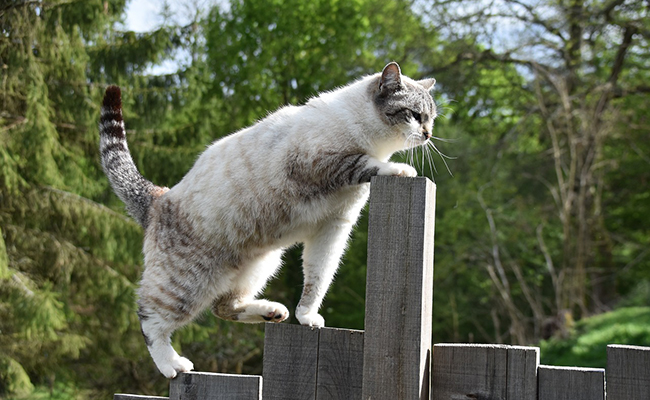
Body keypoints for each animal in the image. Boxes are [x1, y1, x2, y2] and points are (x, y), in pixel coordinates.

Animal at [97, 62, 436, 378]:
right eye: (415, 115)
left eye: (431, 117)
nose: (428, 134)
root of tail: (158, 198)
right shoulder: (324, 163)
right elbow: (368, 163)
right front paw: (401, 169)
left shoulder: (333, 227)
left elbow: (318, 277)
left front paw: (306, 316)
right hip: (184, 284)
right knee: (149, 319)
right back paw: (172, 364)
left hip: (264, 262)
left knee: (223, 307)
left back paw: (272, 312)